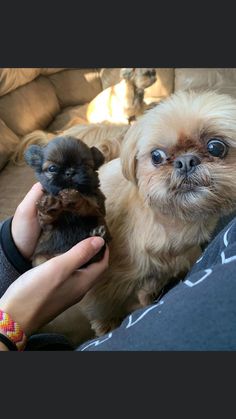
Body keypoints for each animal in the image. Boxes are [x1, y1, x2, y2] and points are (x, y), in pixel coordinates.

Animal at [24, 136, 111, 268]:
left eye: (86, 166)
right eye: (52, 168)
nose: (70, 172)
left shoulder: (99, 206)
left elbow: (88, 204)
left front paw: (74, 198)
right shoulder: (46, 226)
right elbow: (47, 218)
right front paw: (49, 205)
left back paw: (97, 234)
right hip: (40, 259)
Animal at [40, 91, 236, 344]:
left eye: (216, 147)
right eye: (156, 156)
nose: (186, 161)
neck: (172, 225)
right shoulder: (103, 287)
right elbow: (102, 308)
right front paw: (107, 327)